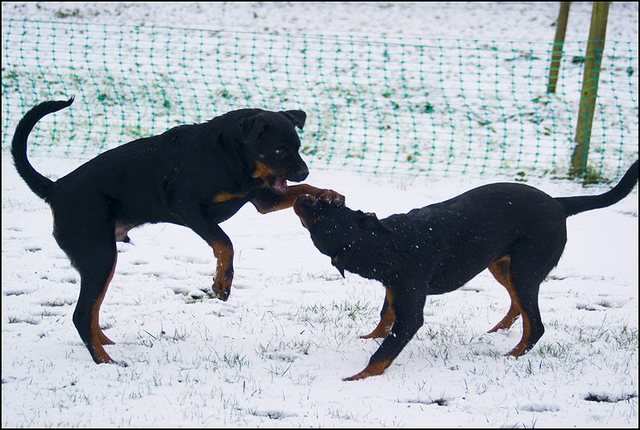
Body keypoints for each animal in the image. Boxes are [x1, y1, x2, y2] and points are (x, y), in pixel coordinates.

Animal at [10, 99, 344, 364]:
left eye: (297, 147)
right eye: (278, 149)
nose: (303, 169)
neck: (229, 157)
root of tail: (55, 189)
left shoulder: (264, 198)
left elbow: (303, 191)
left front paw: (329, 194)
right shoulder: (187, 207)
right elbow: (225, 243)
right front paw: (222, 284)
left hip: (100, 257)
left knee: (90, 310)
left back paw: (104, 343)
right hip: (99, 254)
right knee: (81, 314)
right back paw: (105, 361)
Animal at [294, 161, 636, 380]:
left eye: (322, 214)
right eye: (327, 203)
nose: (303, 195)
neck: (386, 241)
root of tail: (559, 204)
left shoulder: (410, 299)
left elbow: (386, 348)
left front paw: (358, 377)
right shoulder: (395, 288)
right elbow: (385, 316)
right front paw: (368, 337)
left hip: (525, 267)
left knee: (536, 324)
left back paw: (512, 356)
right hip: (501, 264)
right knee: (519, 306)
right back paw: (499, 331)